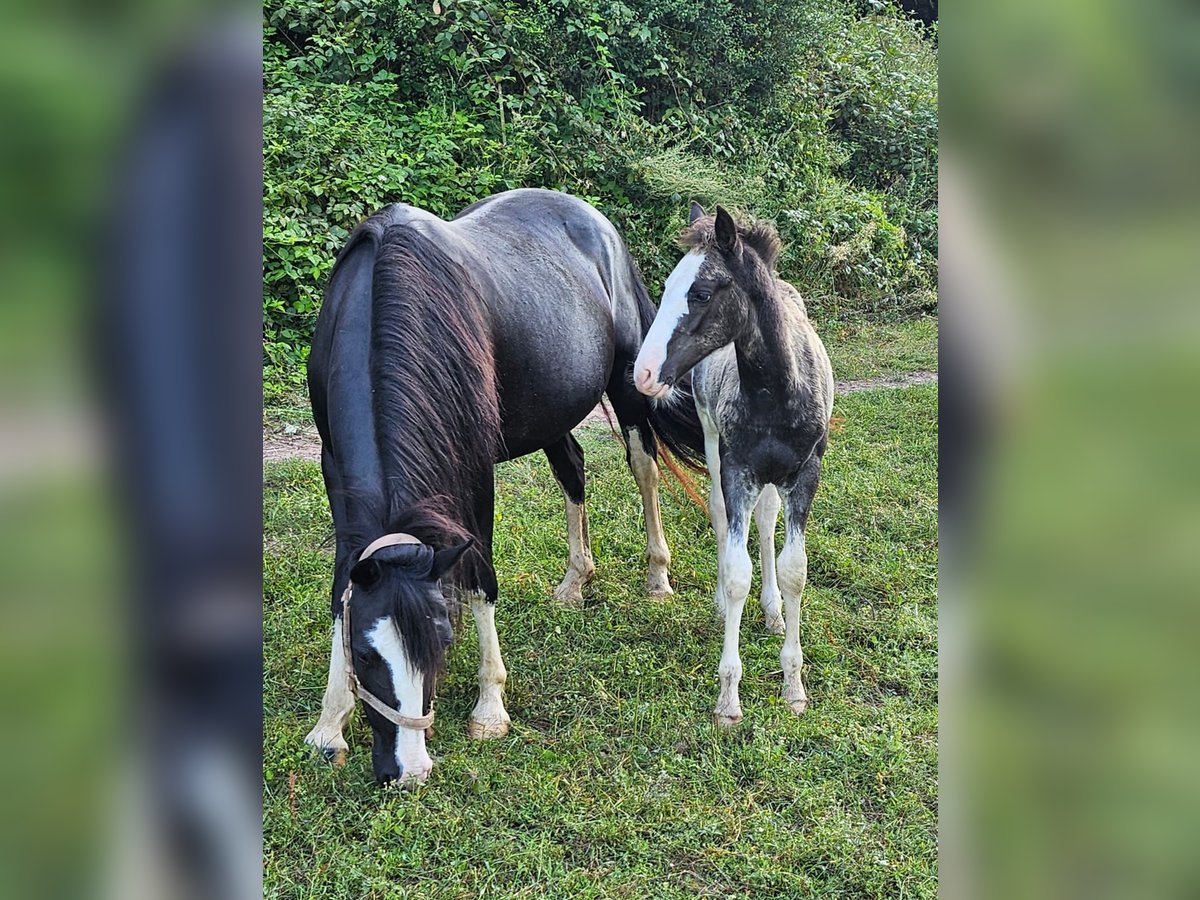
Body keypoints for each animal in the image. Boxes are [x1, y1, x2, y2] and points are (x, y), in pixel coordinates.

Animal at [304, 188, 705, 782]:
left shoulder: (475, 471)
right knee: (573, 471)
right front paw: (330, 724)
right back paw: (575, 580)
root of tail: (595, 221)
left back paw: (658, 576)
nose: (408, 771)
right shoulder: (334, 469)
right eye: (368, 654)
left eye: (443, 643)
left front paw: (490, 707)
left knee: (644, 467)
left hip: (630, 387)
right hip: (554, 410)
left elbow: (480, 579)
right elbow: (341, 589)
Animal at [633, 204, 830, 724]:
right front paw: (728, 698)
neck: (777, 392)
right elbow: (738, 567)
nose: (642, 373)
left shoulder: (804, 475)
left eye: (700, 293)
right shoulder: (737, 469)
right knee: (722, 517)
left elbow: (794, 567)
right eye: (666, 286)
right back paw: (724, 603)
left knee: (766, 520)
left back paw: (772, 611)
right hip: (711, 436)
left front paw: (794, 685)